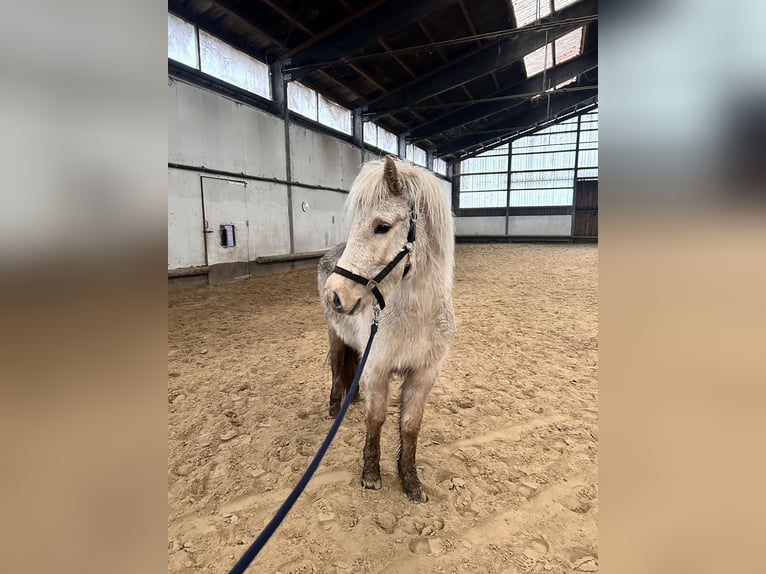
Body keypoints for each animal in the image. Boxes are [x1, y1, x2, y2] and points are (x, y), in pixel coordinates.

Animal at [317, 156, 455, 502]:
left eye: (382, 226)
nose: (335, 293)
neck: (415, 317)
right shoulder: (378, 370)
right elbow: (376, 419)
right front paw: (370, 474)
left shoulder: (424, 374)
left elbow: (410, 426)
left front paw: (411, 481)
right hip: (335, 336)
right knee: (338, 366)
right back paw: (335, 407)